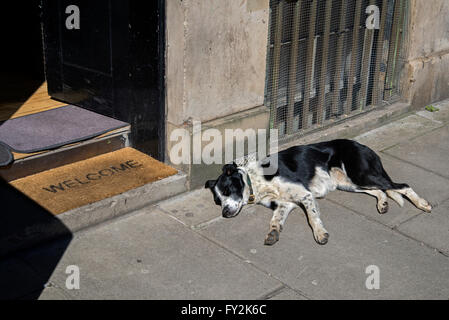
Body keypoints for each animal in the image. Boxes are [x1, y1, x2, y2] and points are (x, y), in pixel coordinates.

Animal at [205, 139, 432, 246]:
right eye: (218, 200)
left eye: (227, 189)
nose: (225, 213)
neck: (256, 181)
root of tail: (361, 144)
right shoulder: (284, 204)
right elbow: (275, 220)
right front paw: (273, 233)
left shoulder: (305, 195)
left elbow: (312, 218)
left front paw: (320, 233)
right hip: (350, 183)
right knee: (381, 191)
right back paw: (382, 204)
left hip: (362, 175)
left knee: (401, 186)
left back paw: (423, 204)